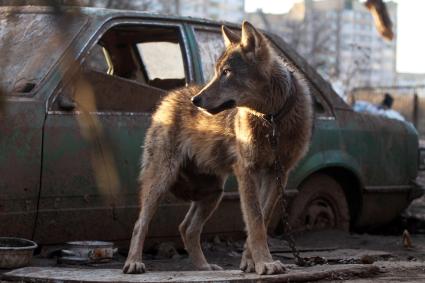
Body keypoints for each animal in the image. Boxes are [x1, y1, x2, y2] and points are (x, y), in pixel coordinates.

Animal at [122, 21, 312, 276]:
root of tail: (169, 97)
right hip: (161, 181)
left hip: (213, 192)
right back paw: (133, 263)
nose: (195, 100)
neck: (272, 119)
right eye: (216, 71)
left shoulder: (277, 174)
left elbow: (261, 220)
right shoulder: (247, 171)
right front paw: (264, 263)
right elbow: (255, 222)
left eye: (227, 72)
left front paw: (251, 263)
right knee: (140, 223)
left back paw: (204, 267)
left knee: (186, 227)